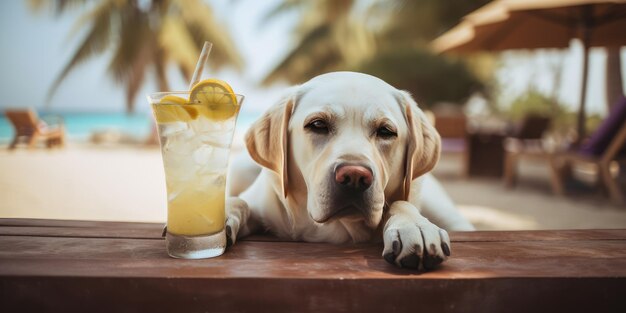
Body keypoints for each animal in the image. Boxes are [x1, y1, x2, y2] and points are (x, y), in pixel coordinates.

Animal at [225, 70, 472, 268]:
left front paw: (415, 226)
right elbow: (240, 201)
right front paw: (223, 216)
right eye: (317, 124)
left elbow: (401, 203)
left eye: (386, 131)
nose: (354, 177)